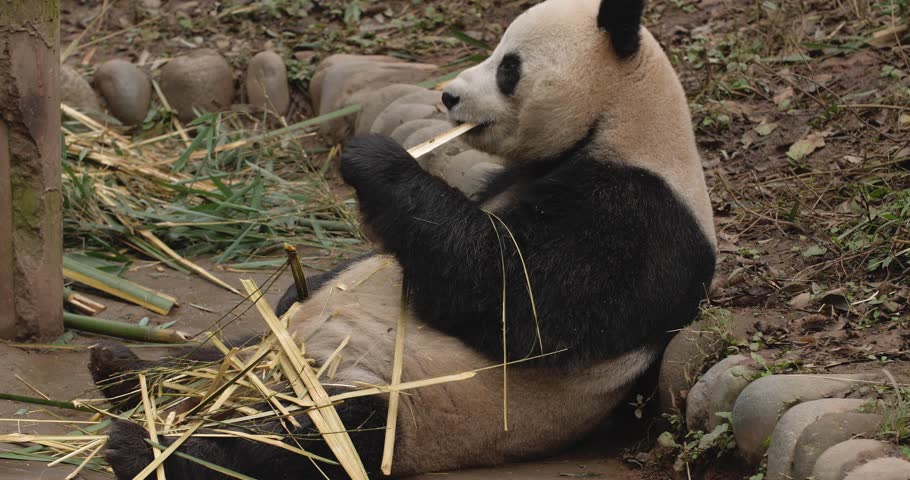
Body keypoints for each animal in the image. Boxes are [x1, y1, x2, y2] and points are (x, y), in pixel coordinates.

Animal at [89, 0, 717, 478]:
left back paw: (148, 448)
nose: (449, 97)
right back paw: (123, 370)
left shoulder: (640, 218)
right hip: (275, 348)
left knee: (316, 440)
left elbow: (522, 300)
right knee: (223, 353)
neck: (621, 124)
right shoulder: (514, 176)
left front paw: (373, 159)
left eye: (508, 67)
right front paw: (298, 284)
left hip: (402, 403)